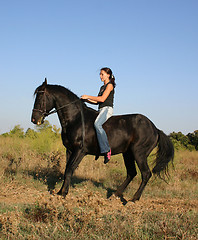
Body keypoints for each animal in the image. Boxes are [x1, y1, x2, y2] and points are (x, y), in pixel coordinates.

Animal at [31, 79, 173, 202]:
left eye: (40, 97)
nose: (34, 119)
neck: (75, 119)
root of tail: (155, 129)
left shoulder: (79, 151)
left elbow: (70, 169)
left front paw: (63, 193)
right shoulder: (69, 150)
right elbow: (66, 170)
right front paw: (60, 192)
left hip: (139, 154)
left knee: (146, 174)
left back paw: (134, 199)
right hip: (128, 154)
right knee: (131, 173)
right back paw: (116, 194)